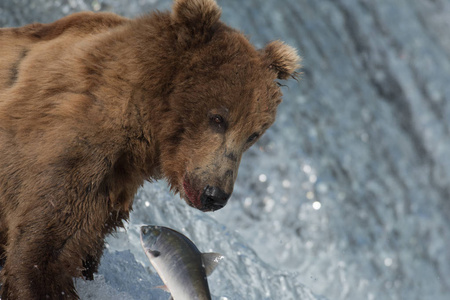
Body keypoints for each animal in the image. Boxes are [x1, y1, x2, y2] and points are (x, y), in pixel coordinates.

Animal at [0, 0, 302, 296]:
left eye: (253, 135)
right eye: (218, 118)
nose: (215, 194)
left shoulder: (112, 191)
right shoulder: (73, 149)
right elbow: (44, 248)